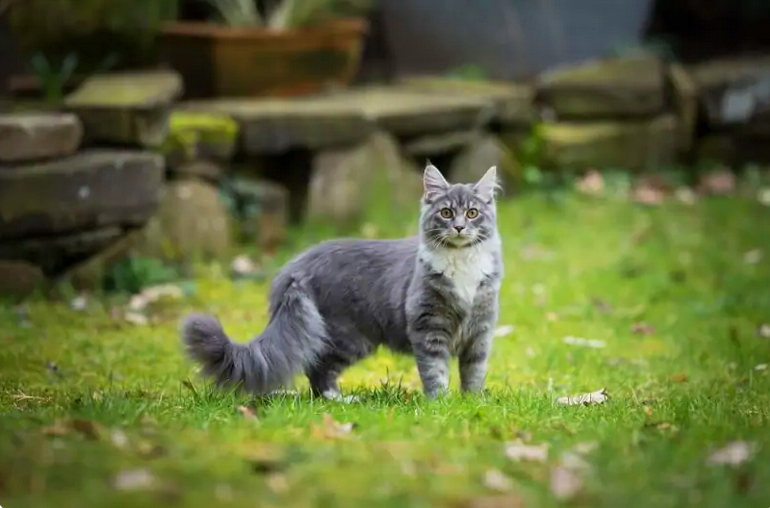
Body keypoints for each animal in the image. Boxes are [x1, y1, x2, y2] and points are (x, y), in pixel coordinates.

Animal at [181, 164, 503, 400]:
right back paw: (340, 399)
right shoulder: (428, 325)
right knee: (318, 370)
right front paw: (440, 403)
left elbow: (474, 371)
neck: (462, 262)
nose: (459, 227)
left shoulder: (481, 328)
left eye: (472, 213)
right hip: (349, 337)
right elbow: (435, 371)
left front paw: (472, 402)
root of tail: (297, 265)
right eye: (446, 212)